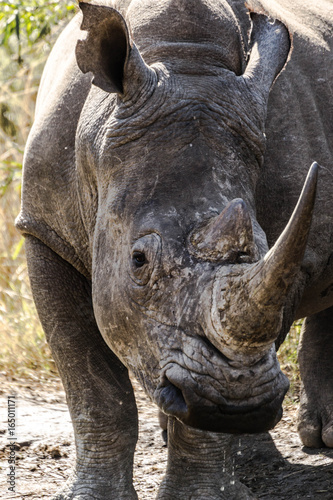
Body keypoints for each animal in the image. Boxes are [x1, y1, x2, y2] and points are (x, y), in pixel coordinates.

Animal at [16, 0, 332, 498]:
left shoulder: (285, 266)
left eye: (262, 245)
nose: (238, 405)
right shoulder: (44, 232)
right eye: (138, 261)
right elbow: (93, 387)